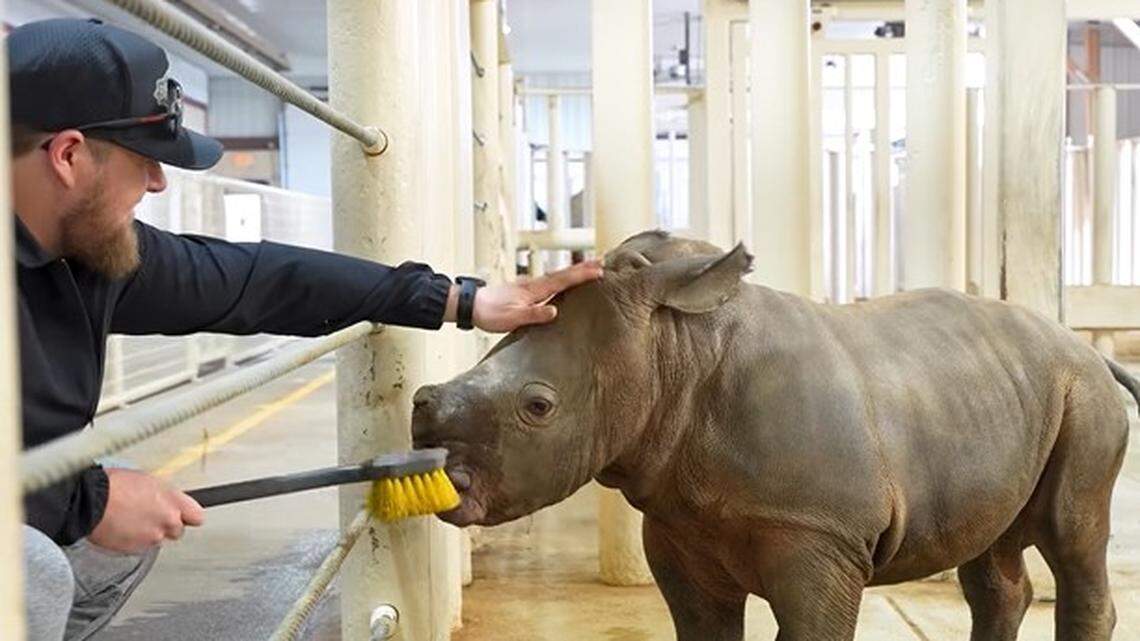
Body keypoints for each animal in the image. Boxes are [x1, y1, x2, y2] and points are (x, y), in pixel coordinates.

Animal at [412, 230, 1138, 641]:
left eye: (538, 406)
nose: (435, 461)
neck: (677, 352)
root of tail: (1084, 348)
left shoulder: (820, 532)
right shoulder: (679, 525)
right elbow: (703, 629)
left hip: (1082, 394)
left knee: (1073, 533)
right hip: (998, 397)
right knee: (992, 551)